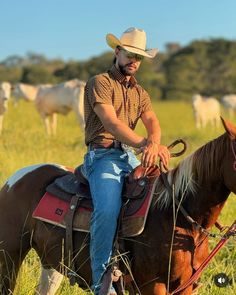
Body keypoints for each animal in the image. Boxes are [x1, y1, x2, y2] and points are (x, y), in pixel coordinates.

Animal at [0, 118, 235, 295]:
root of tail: (12, 182)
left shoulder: (184, 286)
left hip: (51, 264)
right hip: (9, 256)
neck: (176, 215)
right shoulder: (153, 285)